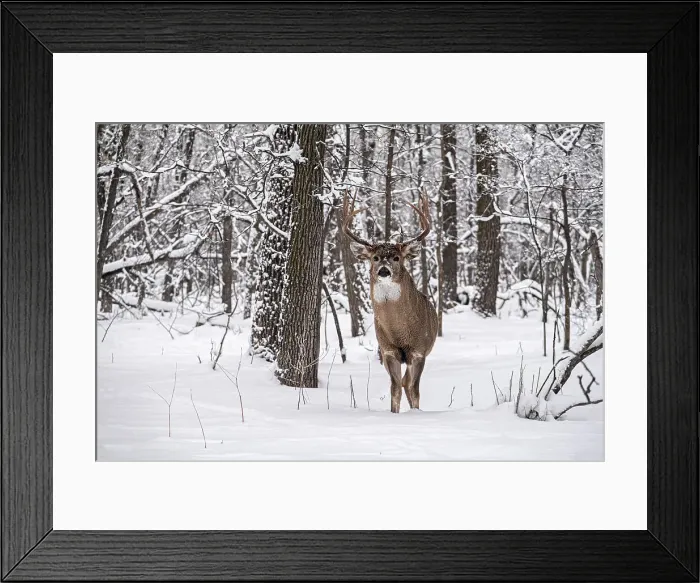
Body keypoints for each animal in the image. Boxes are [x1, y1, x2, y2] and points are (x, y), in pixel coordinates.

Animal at [342, 192, 438, 413]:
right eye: (375, 257)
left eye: (396, 257)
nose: (383, 271)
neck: (400, 331)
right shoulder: (388, 351)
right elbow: (395, 389)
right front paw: (395, 414)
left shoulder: (419, 351)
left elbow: (414, 389)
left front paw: (416, 413)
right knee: (403, 383)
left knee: (409, 383)